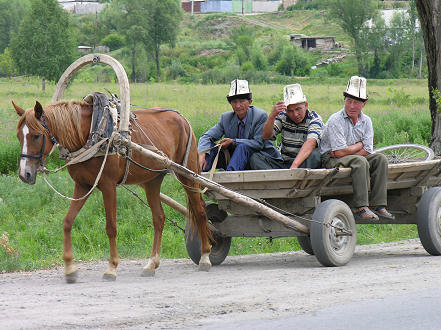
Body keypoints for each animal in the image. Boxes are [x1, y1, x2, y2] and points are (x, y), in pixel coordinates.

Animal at [12, 99, 212, 282]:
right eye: (18, 136)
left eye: (36, 136)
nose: (24, 174)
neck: (91, 135)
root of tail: (181, 118)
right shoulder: (82, 185)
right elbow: (67, 222)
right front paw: (69, 268)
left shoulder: (108, 187)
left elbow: (111, 227)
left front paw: (112, 267)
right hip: (152, 181)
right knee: (159, 218)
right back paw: (151, 263)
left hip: (188, 174)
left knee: (200, 211)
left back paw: (205, 257)